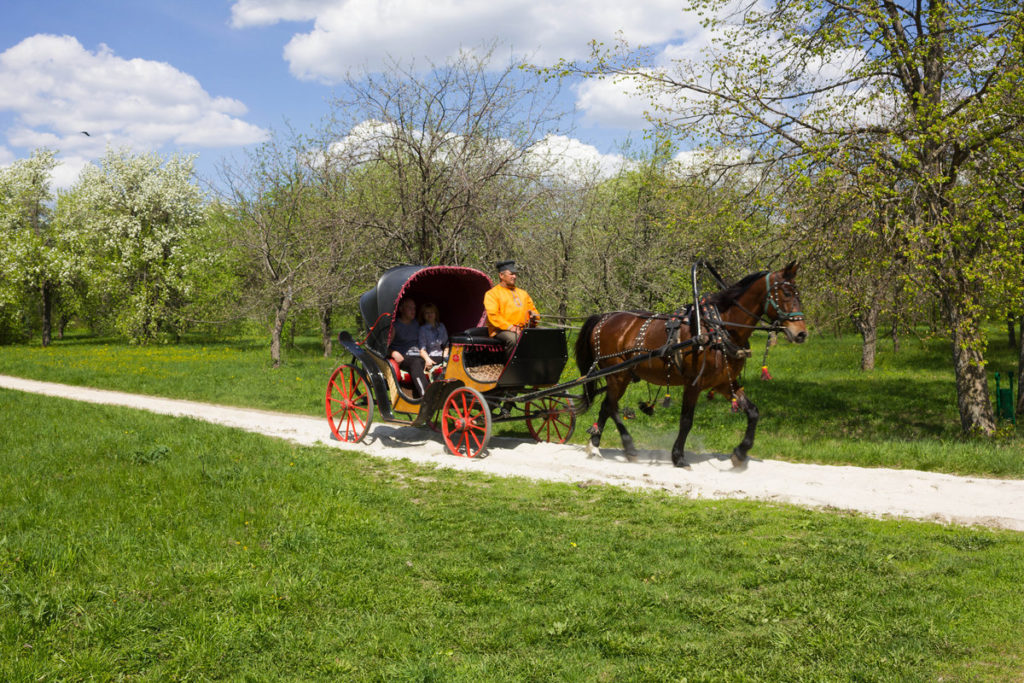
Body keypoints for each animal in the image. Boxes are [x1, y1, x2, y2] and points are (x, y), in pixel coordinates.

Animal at [577, 264, 806, 471]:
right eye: (786, 293)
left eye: (799, 294)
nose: (801, 333)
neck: (719, 329)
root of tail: (604, 317)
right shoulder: (693, 383)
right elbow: (687, 420)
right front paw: (678, 457)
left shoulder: (724, 383)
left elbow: (753, 412)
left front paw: (740, 453)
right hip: (618, 374)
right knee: (611, 406)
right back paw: (626, 445)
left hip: (622, 375)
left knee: (607, 406)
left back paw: (596, 445)